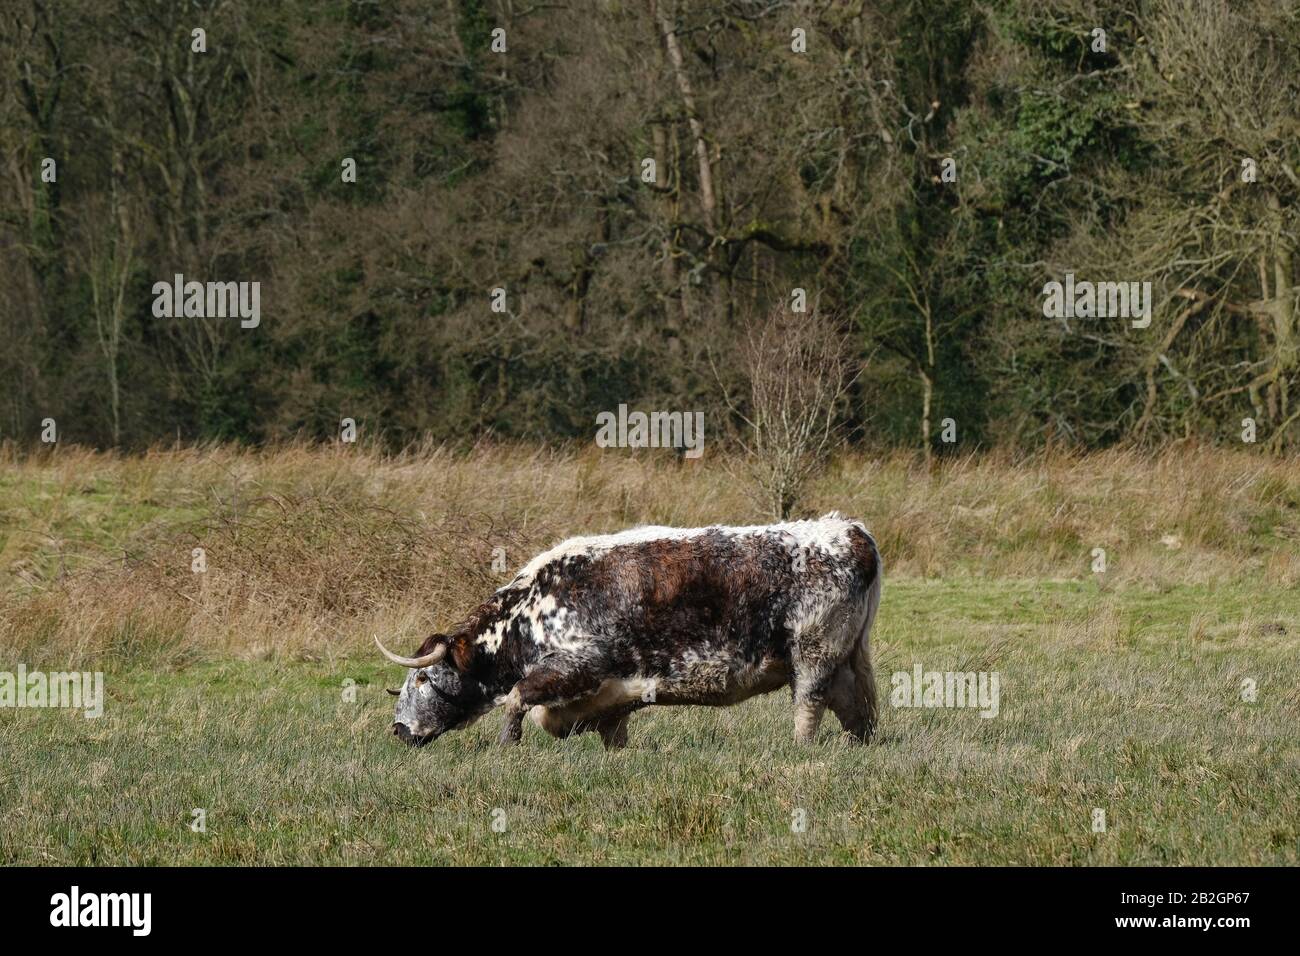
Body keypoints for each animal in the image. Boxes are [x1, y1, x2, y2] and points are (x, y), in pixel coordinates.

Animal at [377, 512, 883, 749]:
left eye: (422, 678)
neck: (530, 610)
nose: (398, 729)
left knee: (809, 703)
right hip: (842, 658)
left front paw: (507, 744)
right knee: (854, 707)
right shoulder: (609, 693)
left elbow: (521, 699)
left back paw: (800, 747)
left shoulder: (578, 663)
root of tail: (847, 529)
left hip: (813, 652)